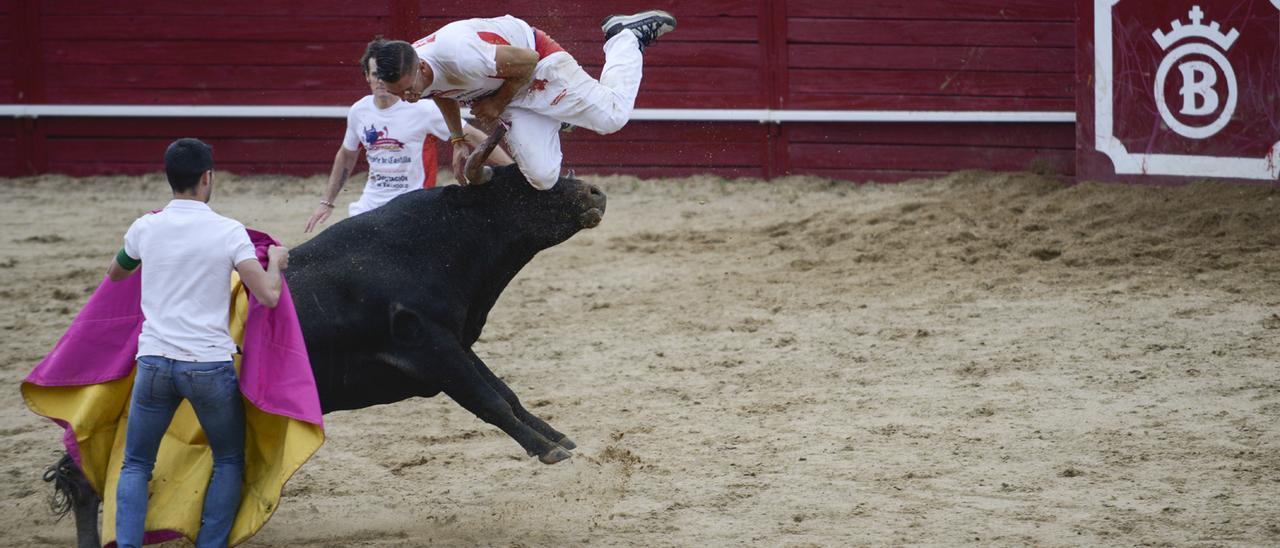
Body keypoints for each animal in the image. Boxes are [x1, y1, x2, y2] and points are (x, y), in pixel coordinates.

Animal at [42, 165, 611, 545]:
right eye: (529, 183)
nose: (595, 190)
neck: (445, 240)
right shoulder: (431, 347)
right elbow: (489, 400)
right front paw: (550, 451)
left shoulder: (453, 343)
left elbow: (506, 394)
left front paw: (561, 440)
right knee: (94, 477)